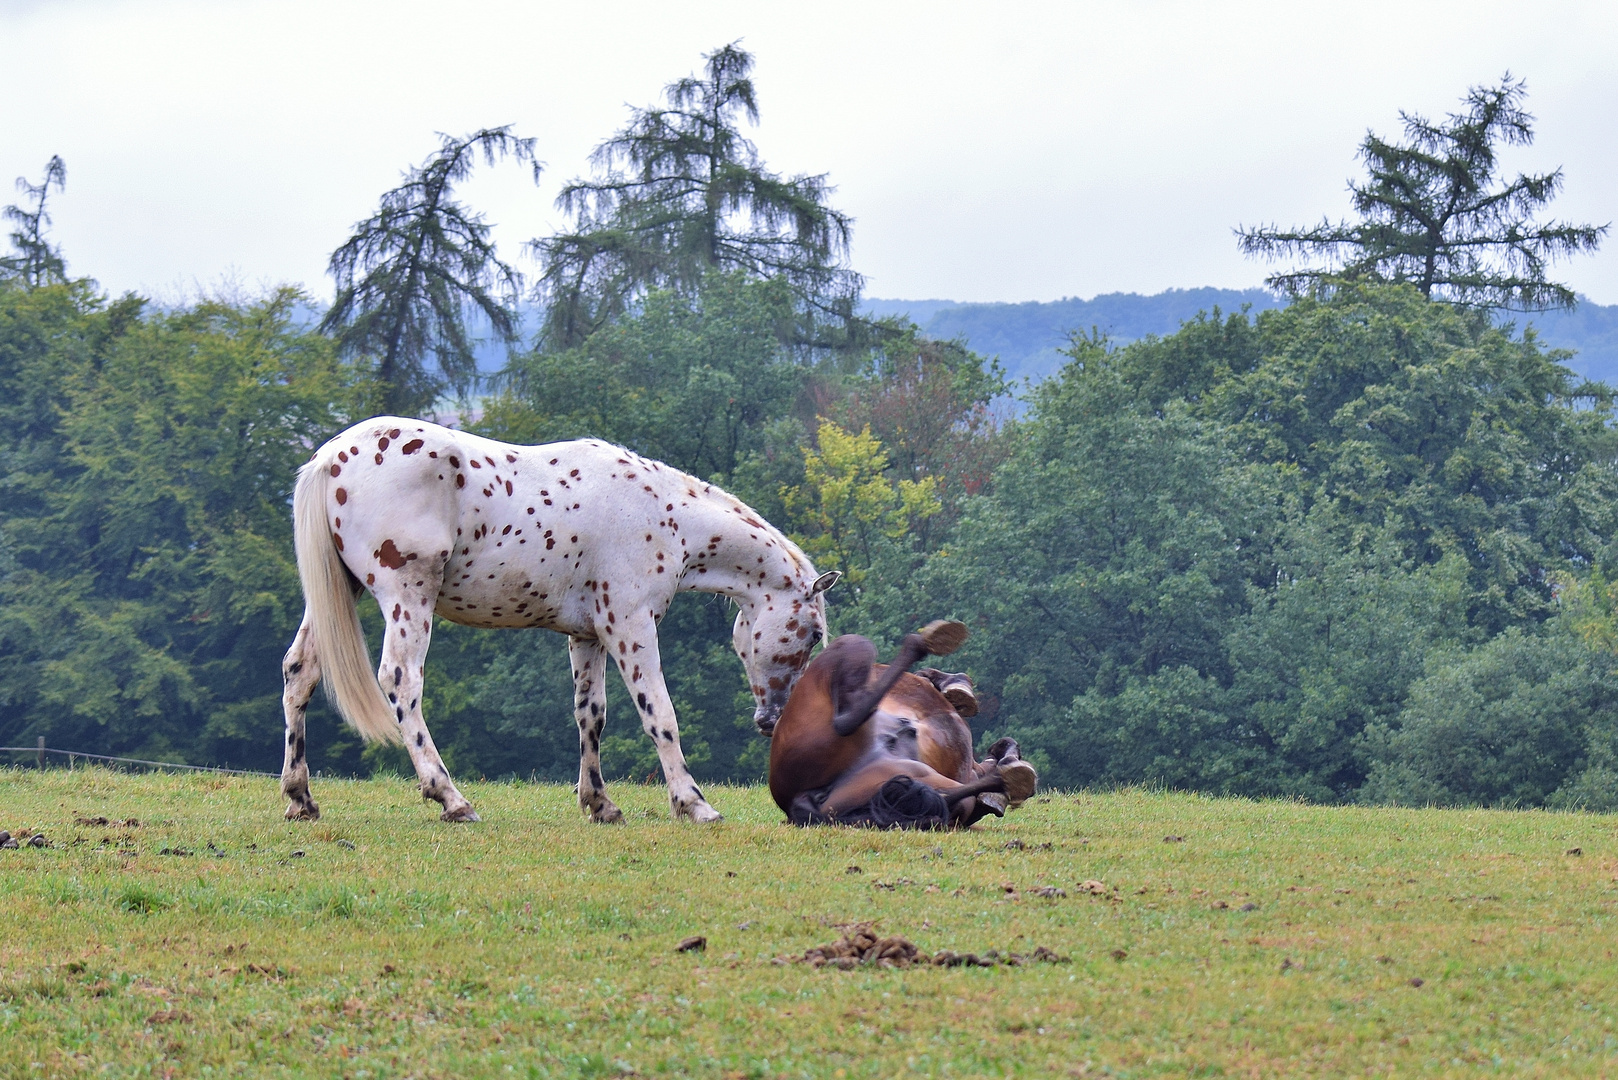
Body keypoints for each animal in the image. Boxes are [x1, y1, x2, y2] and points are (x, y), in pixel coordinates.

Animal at [279, 417, 834, 822]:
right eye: (811, 635)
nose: (771, 720)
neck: (664, 514)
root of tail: (329, 459)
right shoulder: (631, 626)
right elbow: (660, 714)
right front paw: (693, 804)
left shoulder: (588, 635)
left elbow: (591, 715)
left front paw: (600, 803)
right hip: (407, 596)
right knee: (400, 681)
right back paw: (450, 798)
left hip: (338, 594)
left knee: (299, 673)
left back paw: (300, 798)